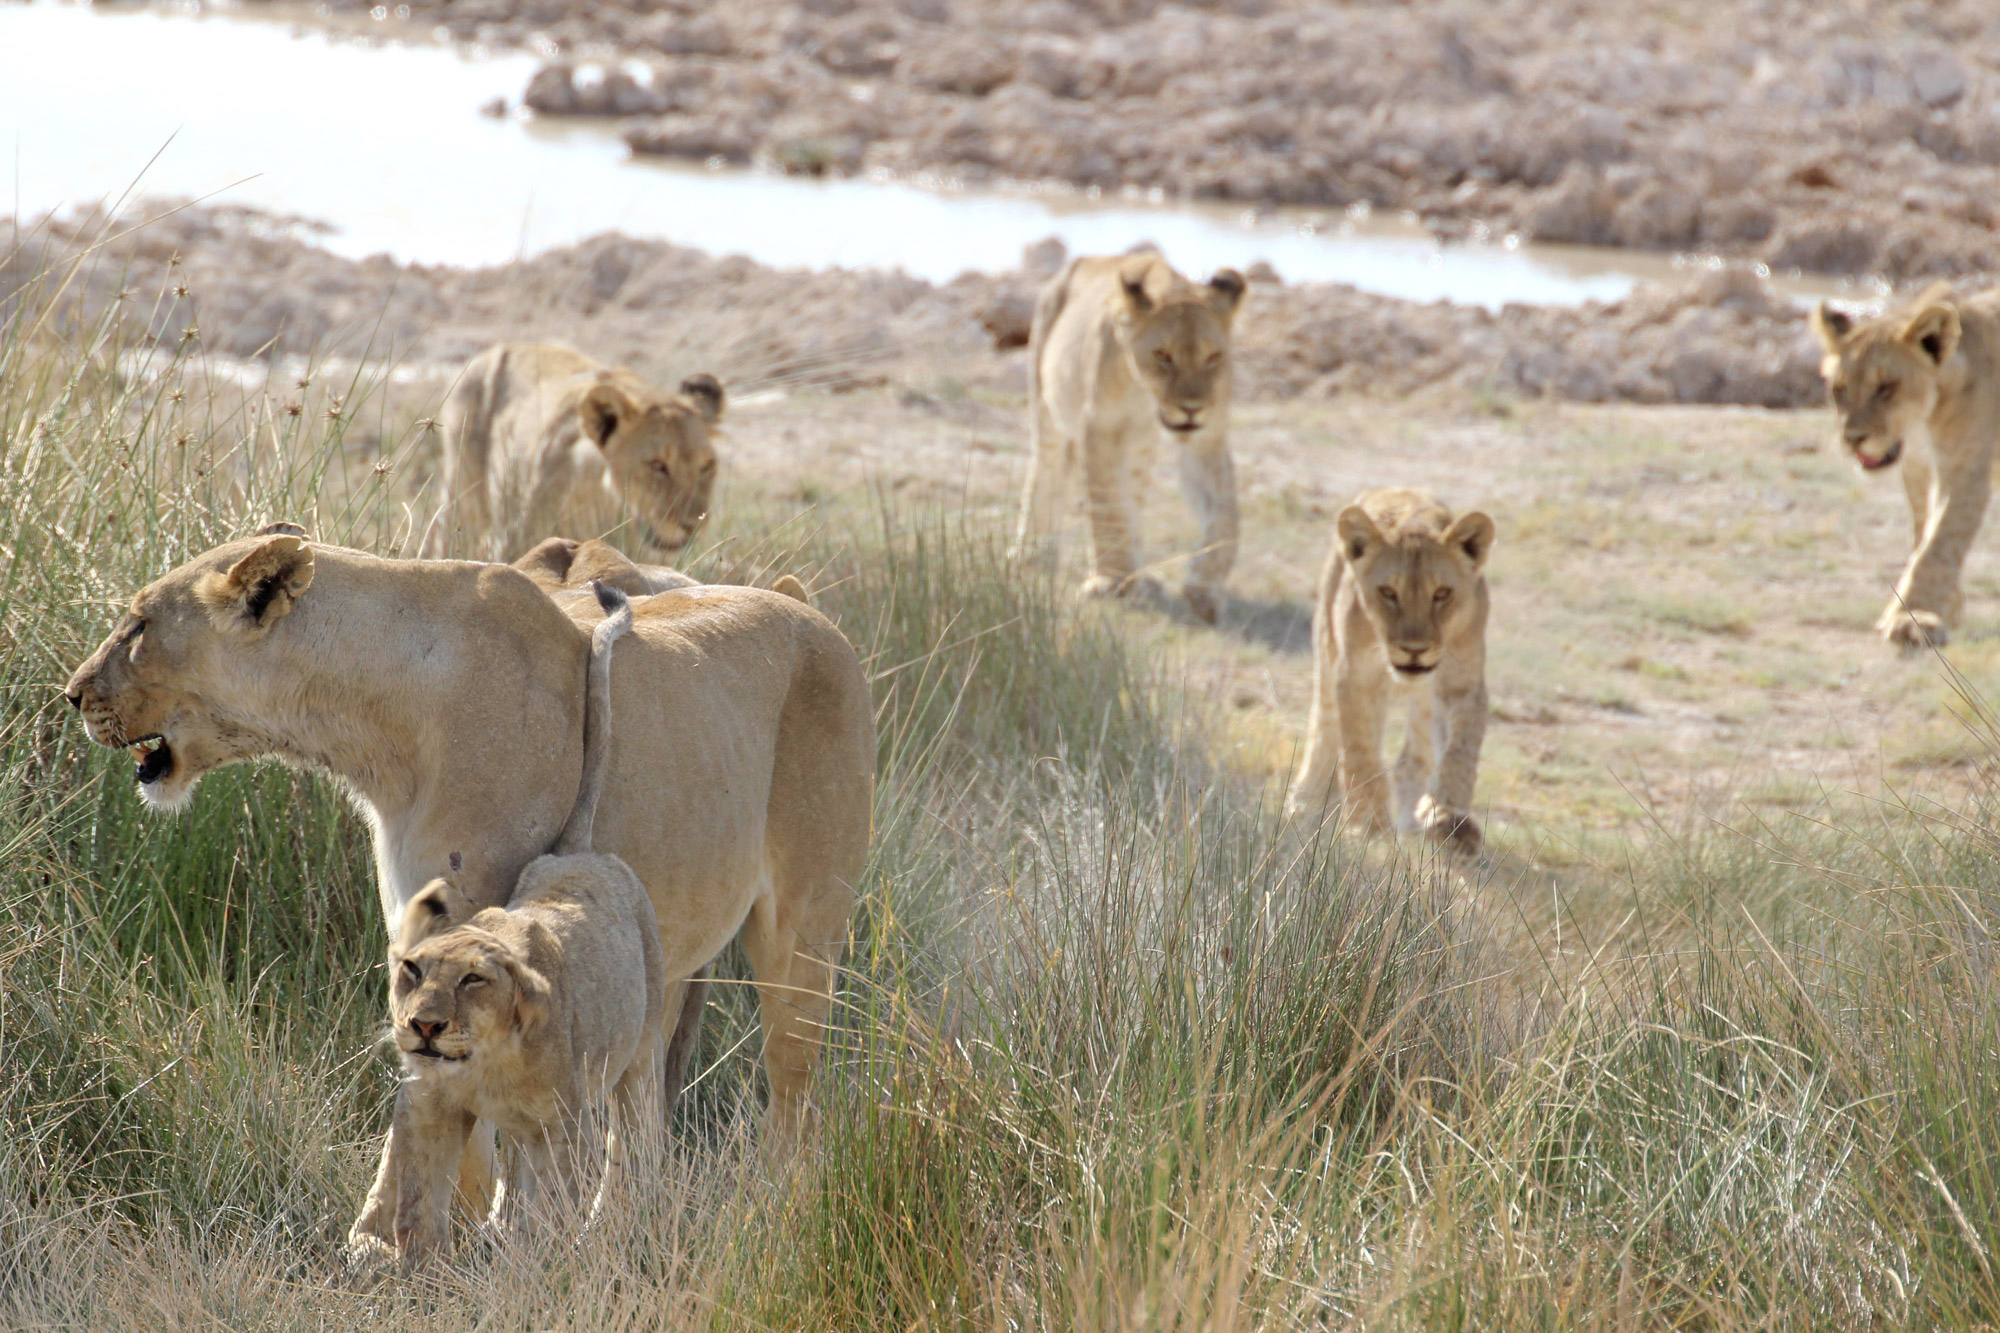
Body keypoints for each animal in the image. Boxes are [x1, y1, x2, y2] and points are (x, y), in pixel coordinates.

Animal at [364, 588, 668, 1264]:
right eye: (412, 970)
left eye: (473, 980)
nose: (424, 1025)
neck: (488, 1060)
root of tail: (579, 852)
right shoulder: (430, 1105)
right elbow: (419, 1206)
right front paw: (419, 1271)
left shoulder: (566, 1125)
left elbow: (553, 1212)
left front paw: (541, 1265)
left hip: (635, 1058)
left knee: (633, 1127)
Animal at [438, 342, 728, 556]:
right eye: (658, 465)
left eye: (707, 467)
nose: (693, 524)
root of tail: (504, 344)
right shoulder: (514, 539)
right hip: (461, 494)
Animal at [1008, 253, 1240, 624]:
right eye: (1163, 356)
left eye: (1213, 358)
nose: (1191, 409)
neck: (1145, 394)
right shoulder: (1099, 428)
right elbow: (1106, 506)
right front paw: (1109, 581)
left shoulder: (1208, 436)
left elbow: (1225, 514)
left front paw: (1204, 589)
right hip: (1047, 406)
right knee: (1046, 472)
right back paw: (1033, 554)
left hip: (1141, 446)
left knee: (1133, 495)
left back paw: (1142, 574)